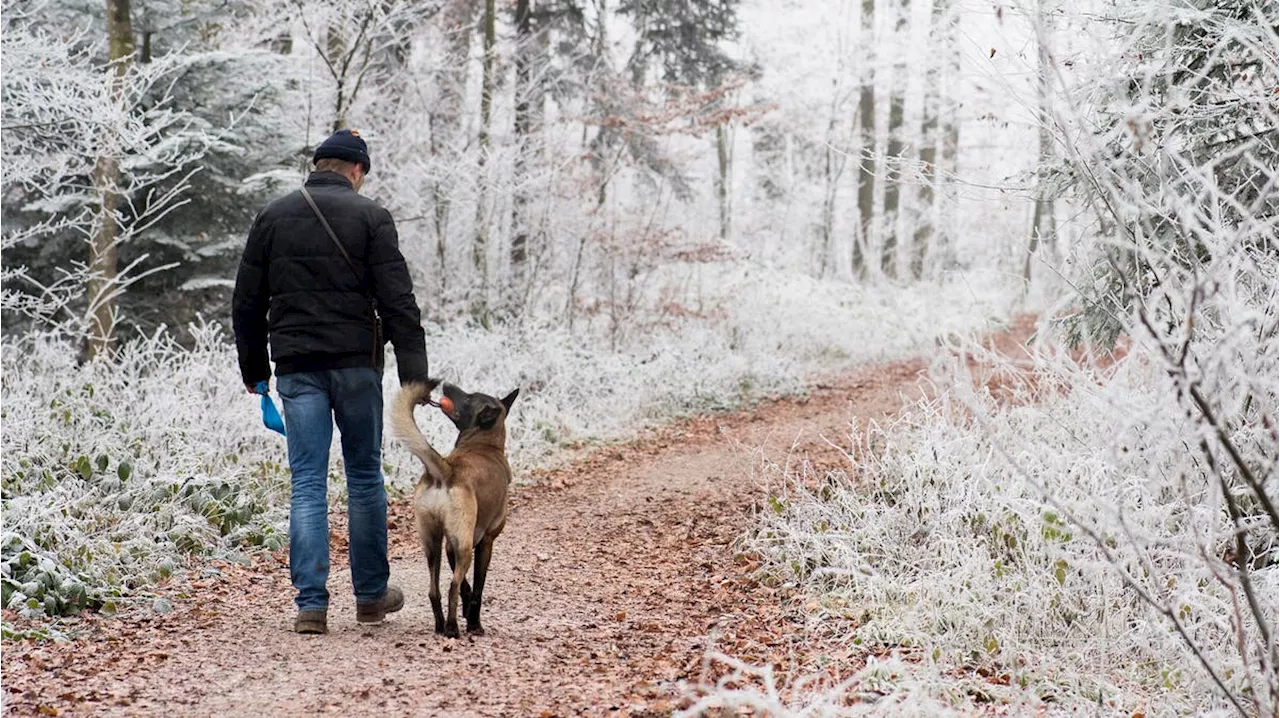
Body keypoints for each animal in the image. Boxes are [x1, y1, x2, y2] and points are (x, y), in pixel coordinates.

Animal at [391, 378, 517, 634]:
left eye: (468, 398)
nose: (447, 385)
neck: (485, 444)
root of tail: (446, 470)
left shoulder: (450, 546)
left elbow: (467, 588)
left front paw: (468, 613)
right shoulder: (485, 542)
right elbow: (477, 588)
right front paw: (474, 623)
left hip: (433, 543)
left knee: (434, 590)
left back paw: (440, 626)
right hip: (464, 547)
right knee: (452, 586)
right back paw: (452, 629)